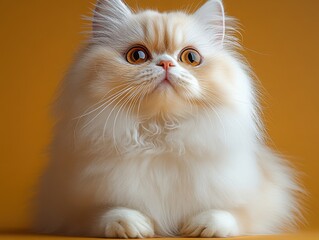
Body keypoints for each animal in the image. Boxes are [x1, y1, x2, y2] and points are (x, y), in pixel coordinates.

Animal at [33, 0, 304, 237]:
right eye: (138, 55)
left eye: (191, 57)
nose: (165, 63)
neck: (161, 137)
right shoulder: (70, 208)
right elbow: (108, 213)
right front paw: (132, 226)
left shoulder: (260, 200)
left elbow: (228, 214)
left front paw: (202, 227)